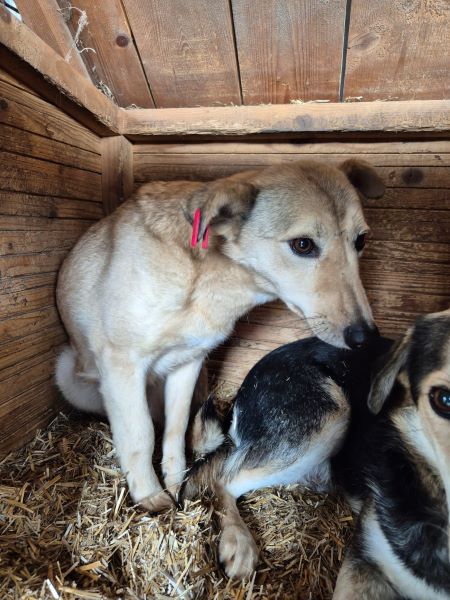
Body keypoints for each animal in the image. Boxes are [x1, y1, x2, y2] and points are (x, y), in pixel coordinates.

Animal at [55, 159, 384, 513]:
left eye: (361, 240)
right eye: (303, 245)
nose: (365, 337)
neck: (209, 278)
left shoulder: (188, 363)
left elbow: (175, 429)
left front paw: (176, 483)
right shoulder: (121, 365)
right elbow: (140, 434)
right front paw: (150, 497)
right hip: (70, 372)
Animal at [183, 309, 450, 600]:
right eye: (444, 400)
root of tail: (241, 391)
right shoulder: (363, 559)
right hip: (328, 415)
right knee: (221, 477)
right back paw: (238, 542)